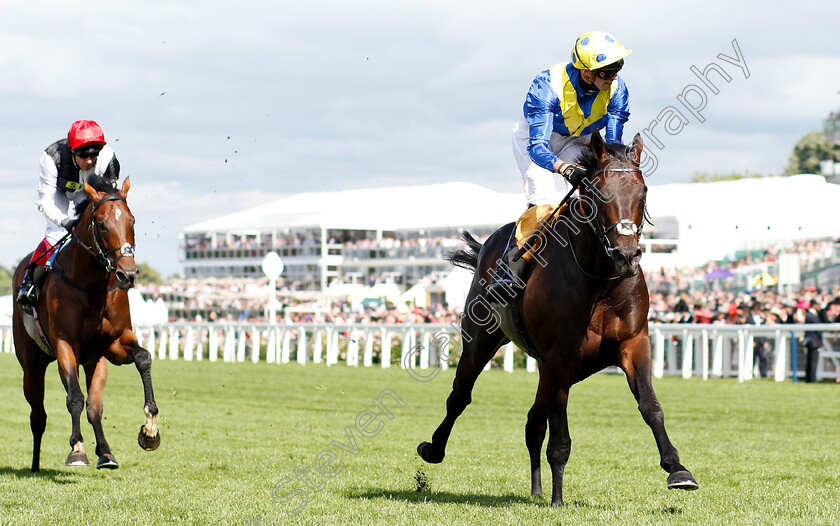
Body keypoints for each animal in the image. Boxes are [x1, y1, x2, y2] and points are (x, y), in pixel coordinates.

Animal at [11, 175, 161, 472]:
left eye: (132, 221)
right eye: (101, 224)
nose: (127, 274)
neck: (91, 286)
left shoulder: (114, 344)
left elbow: (143, 358)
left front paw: (150, 428)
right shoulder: (64, 346)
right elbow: (74, 398)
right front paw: (77, 449)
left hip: (93, 361)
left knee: (94, 407)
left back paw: (105, 452)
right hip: (31, 365)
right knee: (38, 414)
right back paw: (35, 464)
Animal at [416, 131, 700, 508]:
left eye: (643, 192)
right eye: (599, 192)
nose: (626, 255)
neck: (600, 281)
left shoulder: (632, 344)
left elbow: (650, 406)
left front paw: (677, 469)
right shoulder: (559, 358)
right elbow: (560, 437)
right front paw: (558, 500)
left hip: (550, 366)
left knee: (533, 422)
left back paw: (536, 490)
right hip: (481, 339)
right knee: (460, 395)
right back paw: (434, 449)